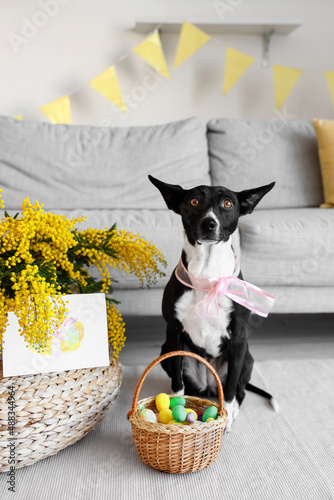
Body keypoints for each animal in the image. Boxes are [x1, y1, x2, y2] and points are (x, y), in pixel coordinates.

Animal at [150, 177, 278, 434]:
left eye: (227, 203)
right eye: (194, 201)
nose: (209, 223)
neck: (207, 276)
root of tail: (209, 386)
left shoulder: (238, 339)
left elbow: (230, 390)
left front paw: (226, 417)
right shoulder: (173, 332)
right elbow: (177, 382)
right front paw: (175, 408)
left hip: (247, 357)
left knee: (239, 390)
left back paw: (233, 410)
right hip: (166, 351)